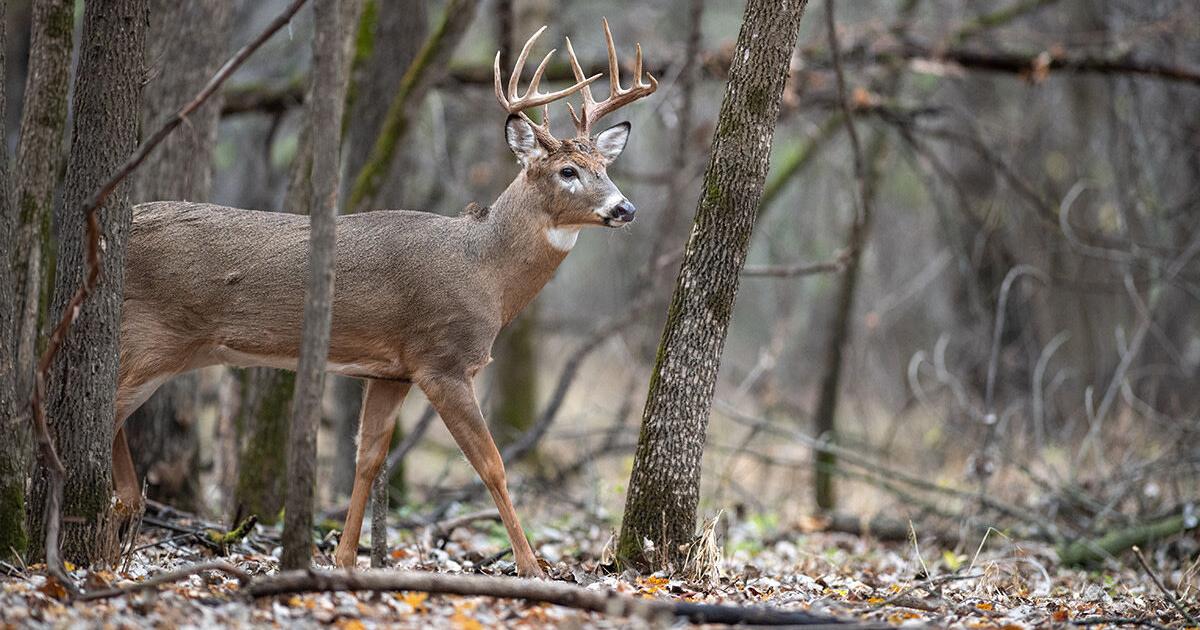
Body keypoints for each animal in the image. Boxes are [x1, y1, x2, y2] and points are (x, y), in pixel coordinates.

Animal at [111, 20, 656, 578]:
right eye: (567, 171)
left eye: (603, 166)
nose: (625, 208)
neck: (484, 270)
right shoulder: (442, 360)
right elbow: (493, 465)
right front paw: (532, 567)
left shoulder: (391, 371)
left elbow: (368, 458)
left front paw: (345, 558)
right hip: (152, 334)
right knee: (106, 407)